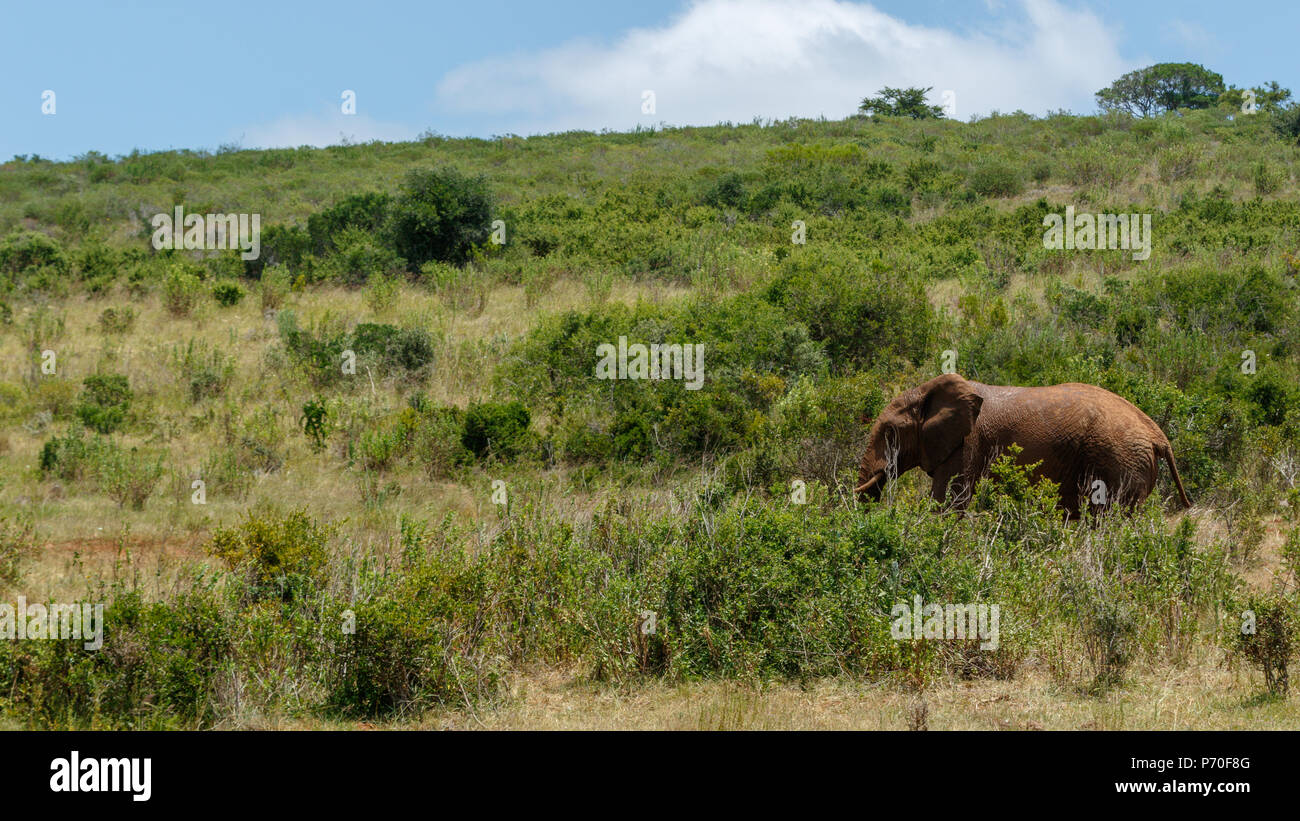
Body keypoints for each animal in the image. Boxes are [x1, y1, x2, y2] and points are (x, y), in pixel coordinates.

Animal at [855, 374, 1191, 518]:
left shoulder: (968, 443)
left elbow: (948, 502)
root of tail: (1158, 434)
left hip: (1120, 460)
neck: (926, 391)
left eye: (890, 432)